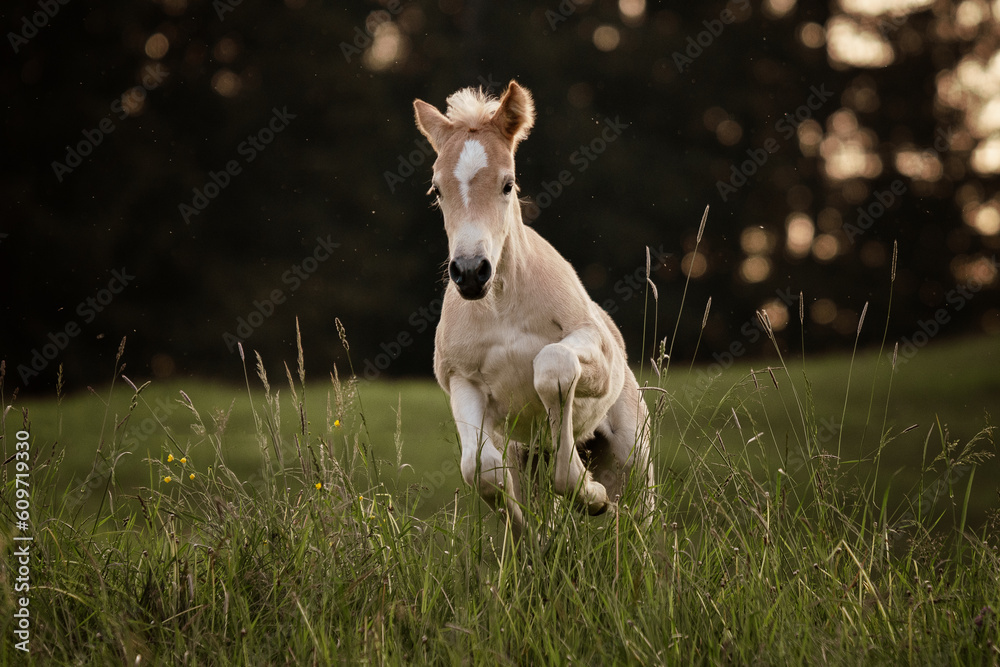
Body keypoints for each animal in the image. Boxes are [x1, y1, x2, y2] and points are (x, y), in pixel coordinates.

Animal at [413, 80, 653, 535]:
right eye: (436, 191)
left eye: (508, 185)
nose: (470, 272)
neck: (501, 305)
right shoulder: (460, 378)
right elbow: (482, 470)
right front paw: (532, 541)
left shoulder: (593, 353)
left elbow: (553, 365)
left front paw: (592, 496)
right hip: (526, 457)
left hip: (633, 455)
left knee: (641, 523)